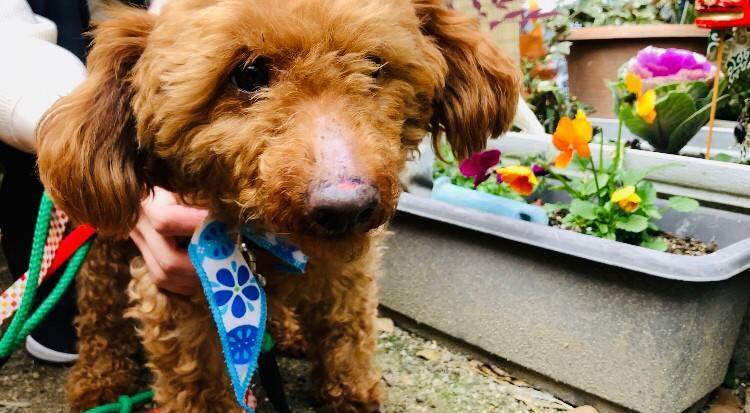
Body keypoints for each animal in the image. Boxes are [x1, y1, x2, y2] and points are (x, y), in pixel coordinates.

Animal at [36, 0, 520, 411]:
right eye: (248, 74)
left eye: (375, 65)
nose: (347, 207)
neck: (266, 238)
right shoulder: (178, 294)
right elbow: (195, 382)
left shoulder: (347, 273)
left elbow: (347, 334)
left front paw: (351, 393)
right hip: (106, 245)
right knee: (99, 313)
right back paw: (100, 381)